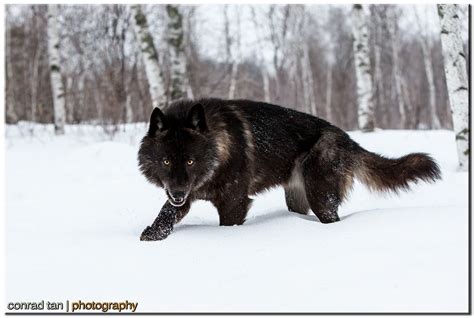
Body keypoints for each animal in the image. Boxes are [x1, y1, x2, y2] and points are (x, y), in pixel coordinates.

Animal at [137, 98, 440, 240]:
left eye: (190, 161)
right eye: (166, 161)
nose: (178, 192)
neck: (219, 147)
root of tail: (347, 139)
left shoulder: (234, 203)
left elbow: (227, 226)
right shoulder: (183, 196)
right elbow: (165, 214)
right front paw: (152, 235)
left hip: (321, 199)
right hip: (296, 199)